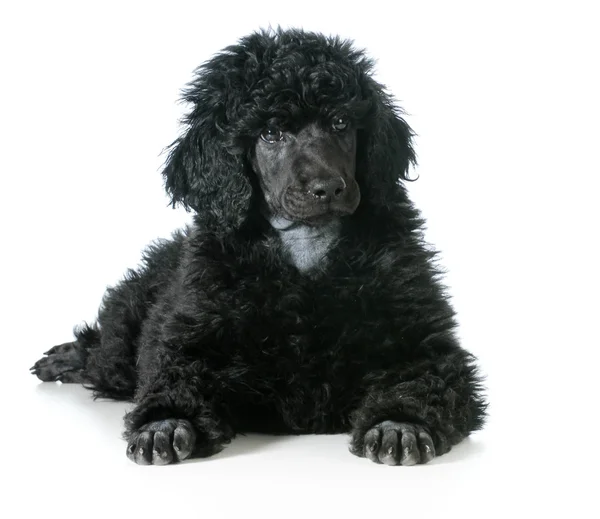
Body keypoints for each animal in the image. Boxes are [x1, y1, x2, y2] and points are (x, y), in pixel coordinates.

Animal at [30, 28, 486, 468]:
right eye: (270, 133)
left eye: (340, 122)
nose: (328, 187)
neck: (305, 243)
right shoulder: (189, 335)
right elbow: (172, 371)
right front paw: (166, 422)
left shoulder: (424, 344)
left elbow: (422, 378)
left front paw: (399, 424)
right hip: (125, 337)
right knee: (103, 353)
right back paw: (65, 358)